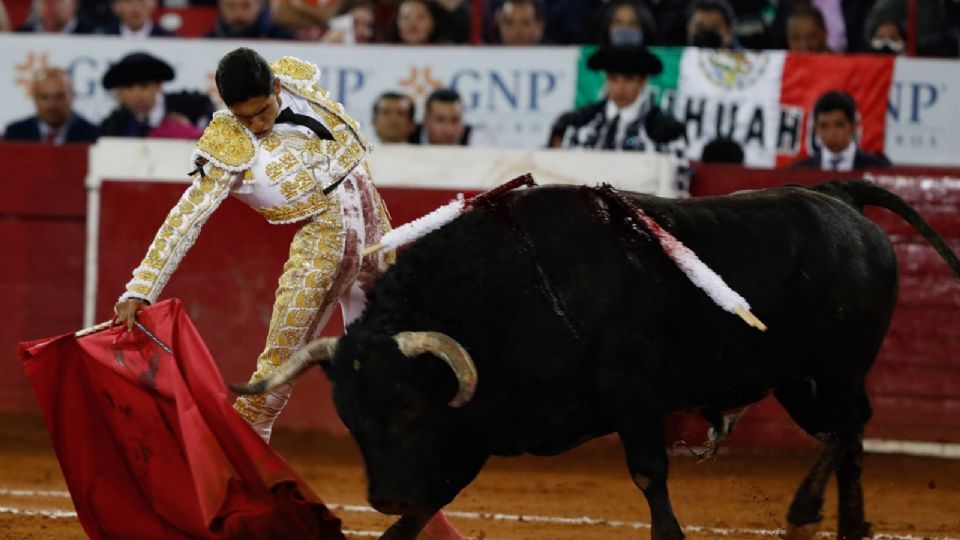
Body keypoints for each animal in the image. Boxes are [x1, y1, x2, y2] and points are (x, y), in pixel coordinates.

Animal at [234, 181, 960, 540]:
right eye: (350, 420)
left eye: (409, 407)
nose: (381, 498)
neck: (510, 289)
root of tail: (846, 208)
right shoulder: (477, 428)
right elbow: (429, 503)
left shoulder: (633, 400)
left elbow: (648, 477)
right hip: (799, 383)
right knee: (852, 433)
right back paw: (850, 525)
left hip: (830, 370)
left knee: (849, 426)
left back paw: (808, 513)